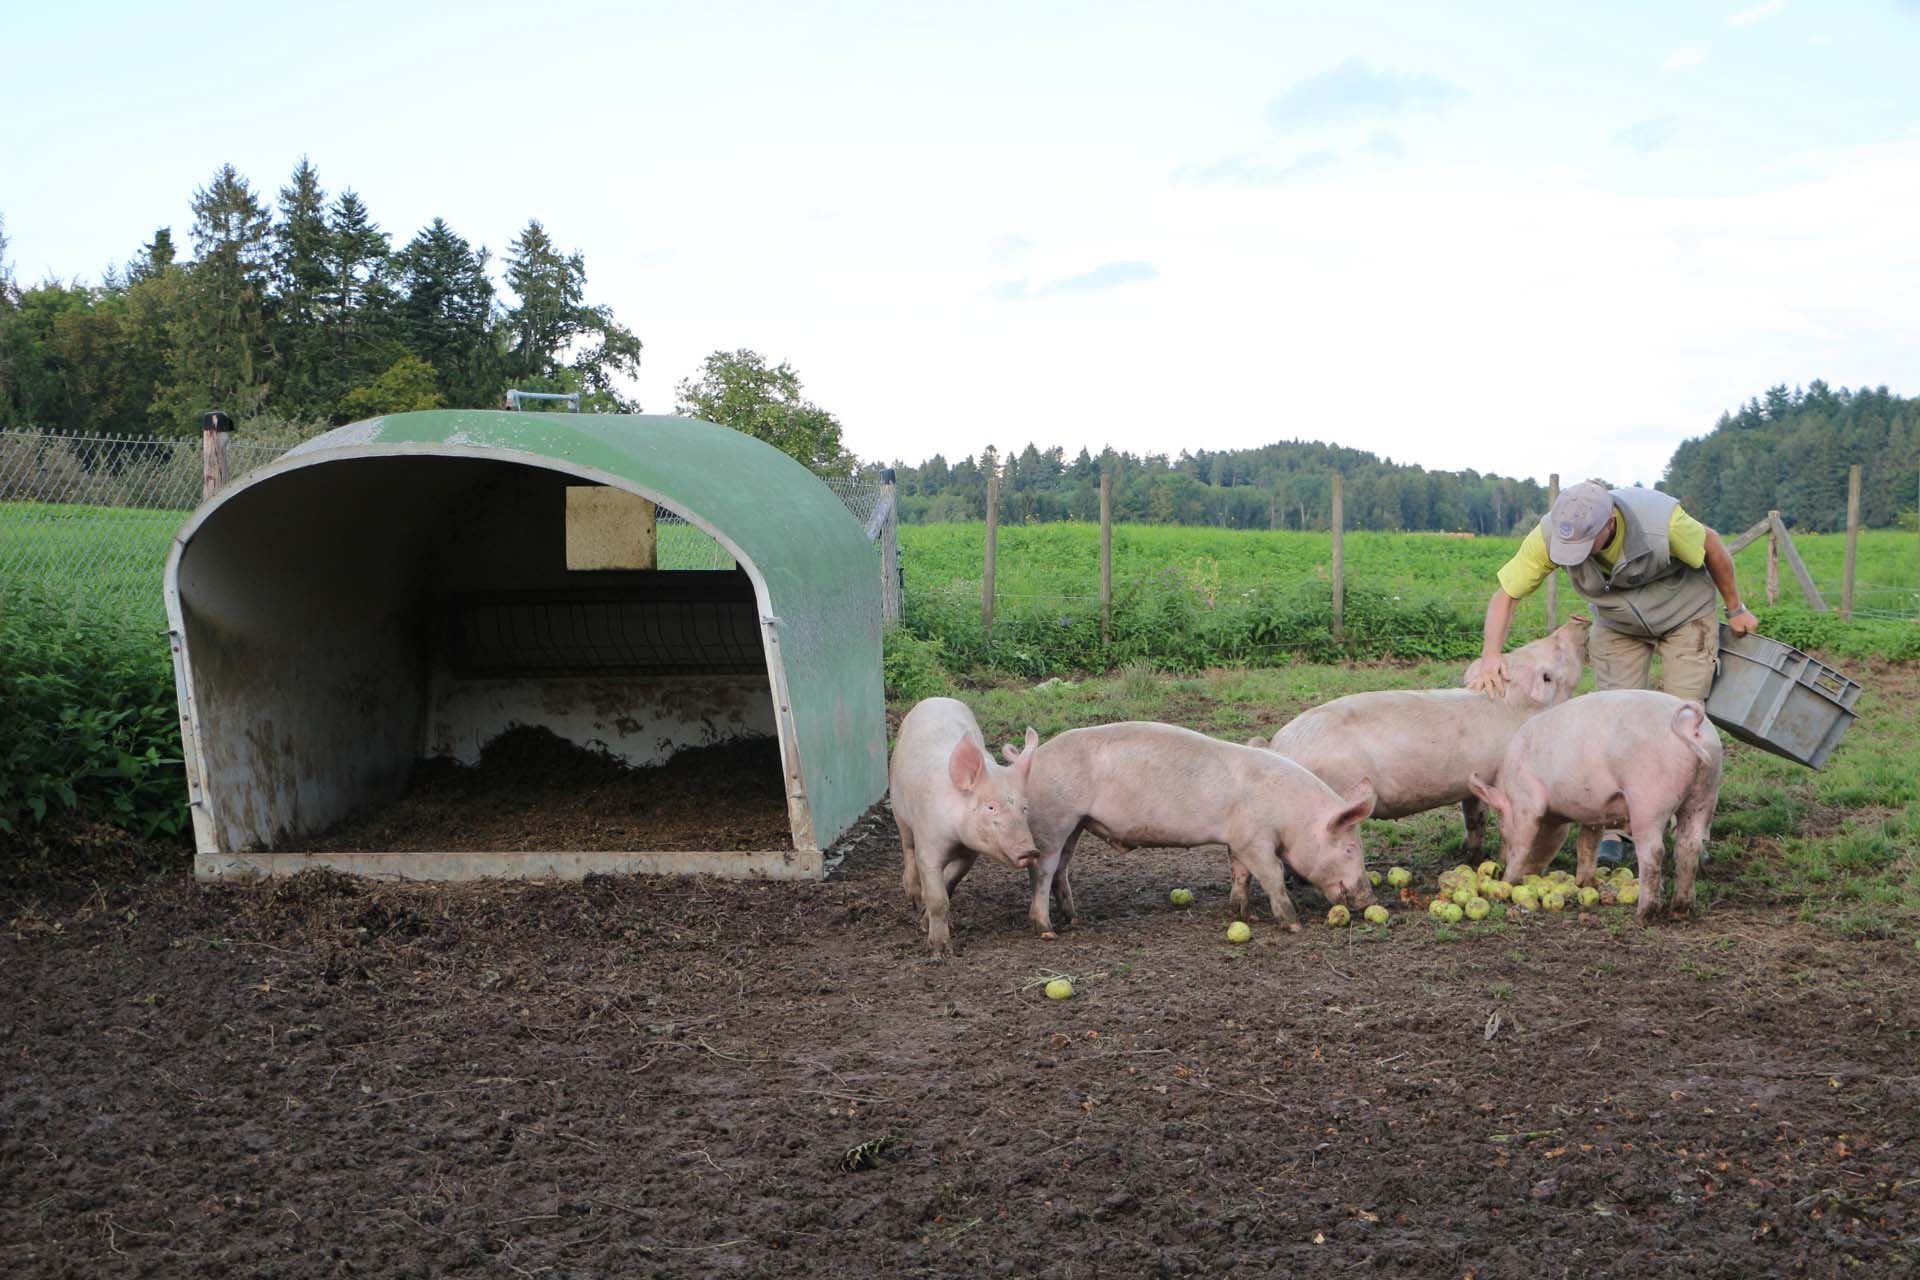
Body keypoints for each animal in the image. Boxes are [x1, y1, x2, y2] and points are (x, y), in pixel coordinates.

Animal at [889, 697, 1043, 957]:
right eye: (990, 807)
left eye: (1024, 807)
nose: (1030, 851)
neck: (955, 837)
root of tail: (937, 698)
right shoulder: (928, 846)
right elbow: (937, 897)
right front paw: (940, 951)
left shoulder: (969, 853)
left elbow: (950, 881)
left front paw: (925, 923)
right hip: (899, 811)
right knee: (907, 847)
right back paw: (913, 898)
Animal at [1012, 721, 1377, 938]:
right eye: (1349, 849)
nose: (1368, 897)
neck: (1291, 815)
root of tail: (1034, 760)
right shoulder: (1254, 839)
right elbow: (1271, 875)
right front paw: (1293, 924)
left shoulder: (1237, 841)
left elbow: (1240, 875)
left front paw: (1244, 915)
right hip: (1055, 818)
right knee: (1043, 870)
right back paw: (1046, 930)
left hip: (1075, 824)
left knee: (1062, 869)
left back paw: (1075, 919)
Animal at [1247, 616, 1589, 854]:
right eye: (1557, 652)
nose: (1577, 619)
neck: (1517, 706)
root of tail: (1279, 745)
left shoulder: (1473, 779)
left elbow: (1473, 817)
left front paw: (1468, 854)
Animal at [1468, 689, 1724, 924]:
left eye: (1502, 829)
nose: (1501, 864)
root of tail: (1691, 724)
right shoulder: (1595, 812)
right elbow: (1586, 844)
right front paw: (1586, 884)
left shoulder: (1526, 802)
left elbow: (1522, 845)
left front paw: (1506, 882)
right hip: (1705, 792)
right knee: (1689, 847)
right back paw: (1681, 911)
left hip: (1649, 798)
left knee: (1654, 851)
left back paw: (1644, 915)